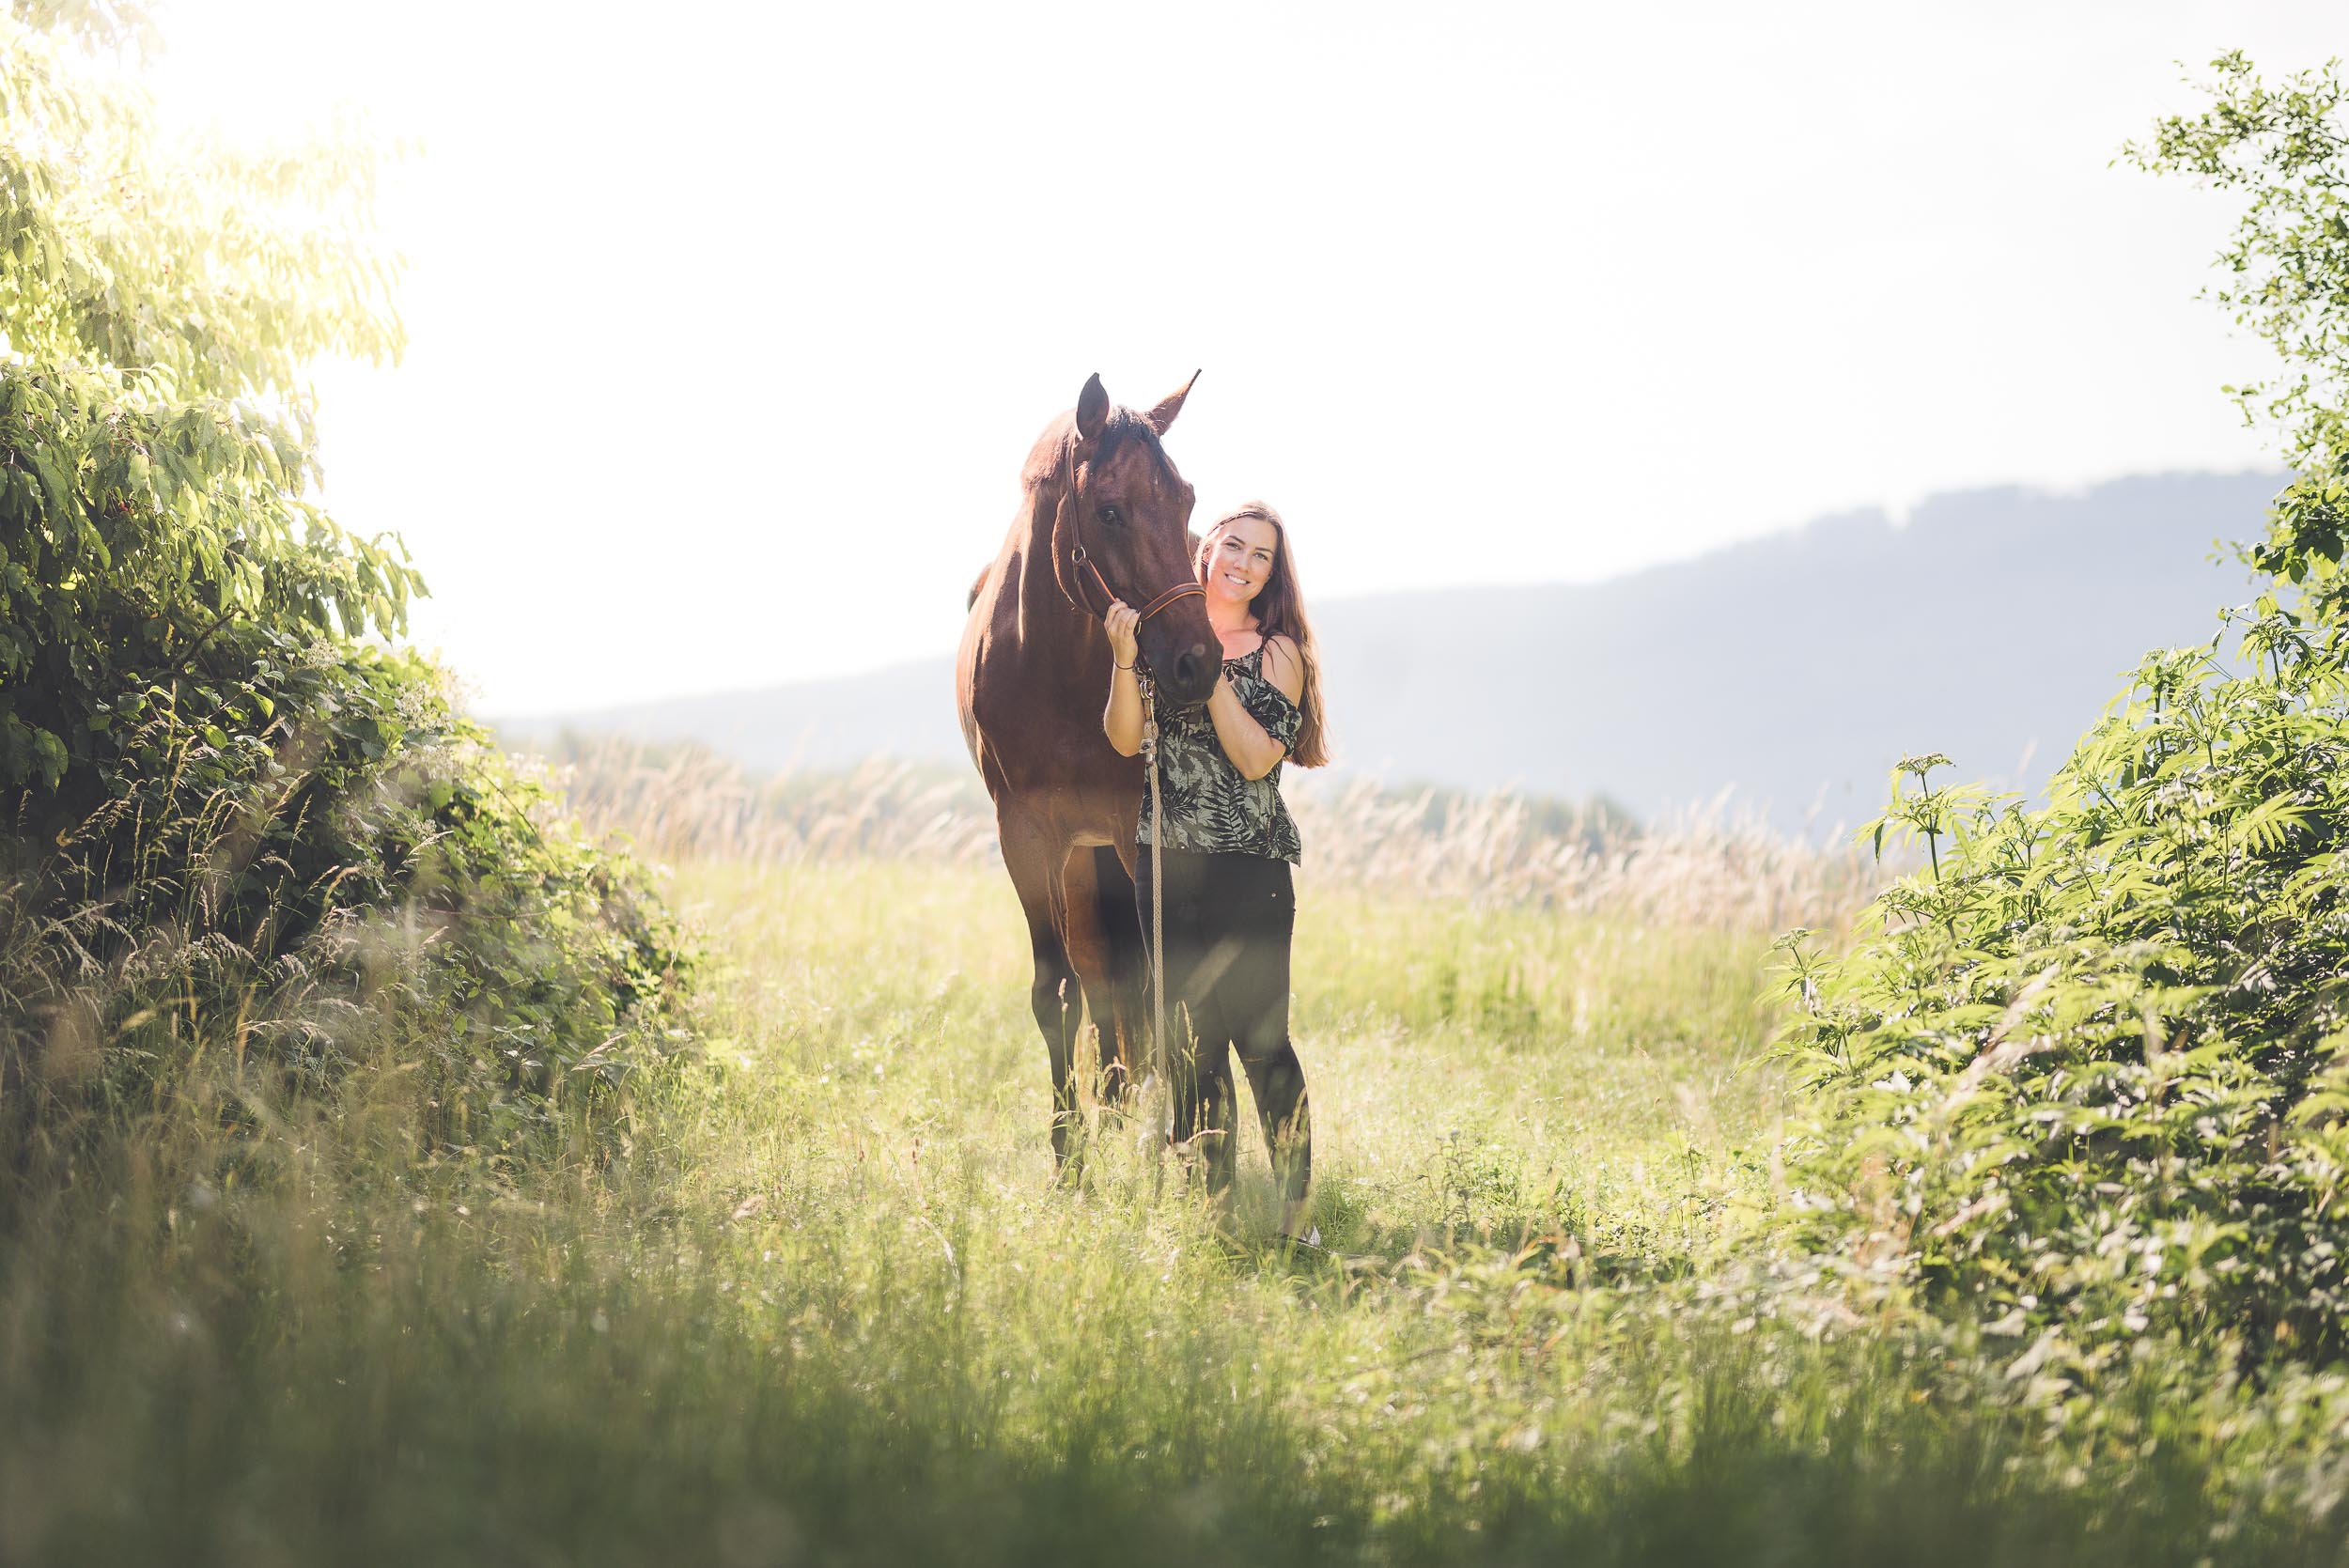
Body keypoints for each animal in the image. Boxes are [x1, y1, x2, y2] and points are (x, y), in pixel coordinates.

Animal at [954, 370, 1221, 1164]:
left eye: (1186, 501)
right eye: (1109, 511)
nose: (1200, 663)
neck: (1057, 672)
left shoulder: (1136, 831)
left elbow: (1158, 980)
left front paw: (1173, 1138)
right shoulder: (1027, 837)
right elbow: (1059, 992)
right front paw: (1069, 1154)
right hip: (1078, 860)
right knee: (1100, 974)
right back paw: (1110, 1107)